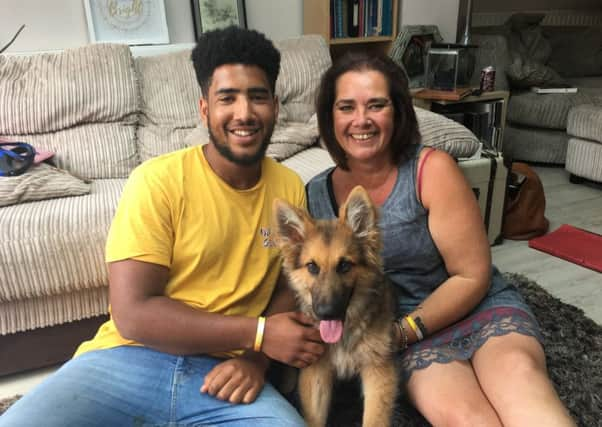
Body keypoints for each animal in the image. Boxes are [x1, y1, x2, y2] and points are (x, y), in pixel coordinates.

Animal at [274, 186, 398, 427]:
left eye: (344, 265)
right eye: (312, 267)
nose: (326, 313)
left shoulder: (378, 370)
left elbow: (374, 419)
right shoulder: (316, 371)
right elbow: (314, 417)